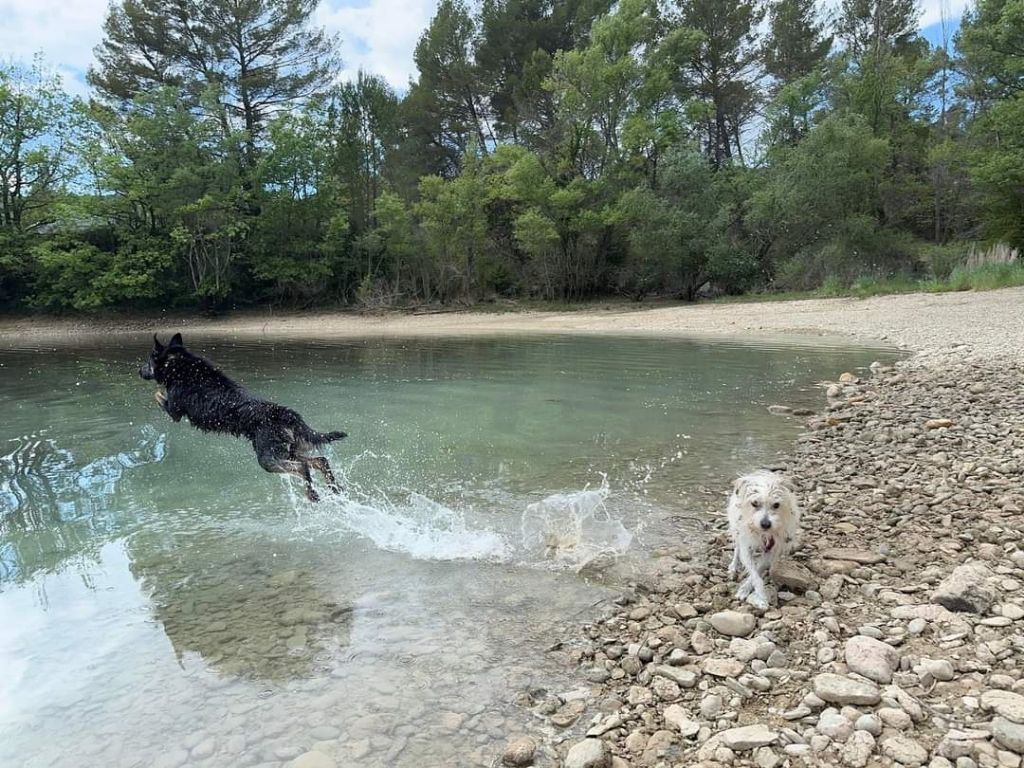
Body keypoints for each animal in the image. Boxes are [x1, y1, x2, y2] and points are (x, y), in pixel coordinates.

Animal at [140, 333, 348, 501]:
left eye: (147, 362)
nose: (138, 371)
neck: (178, 365)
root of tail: (286, 413)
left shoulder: (174, 411)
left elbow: (157, 395)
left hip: (268, 458)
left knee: (303, 468)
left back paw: (313, 494)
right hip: (288, 450)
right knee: (320, 461)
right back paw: (335, 488)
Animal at [729, 473, 798, 610]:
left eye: (776, 505)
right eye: (754, 503)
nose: (766, 524)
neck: (762, 533)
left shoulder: (771, 550)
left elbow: (758, 569)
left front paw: (746, 588)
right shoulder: (746, 546)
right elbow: (755, 575)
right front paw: (760, 597)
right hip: (737, 529)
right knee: (737, 548)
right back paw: (733, 566)